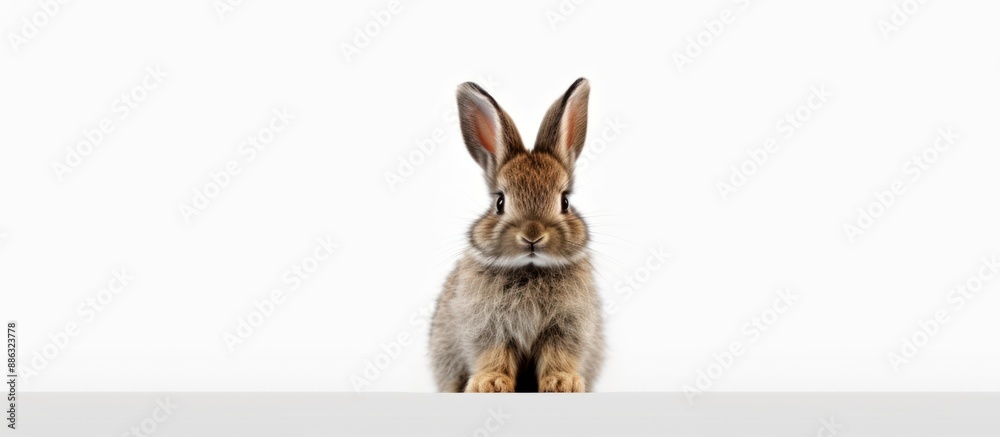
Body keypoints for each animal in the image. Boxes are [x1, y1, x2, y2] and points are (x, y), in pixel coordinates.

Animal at [429, 78, 604, 393]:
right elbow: (494, 355)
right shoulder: (488, 327)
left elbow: (558, 355)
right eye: (500, 202)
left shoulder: (566, 327)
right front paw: (489, 384)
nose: (532, 235)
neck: (530, 268)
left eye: (565, 202)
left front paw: (562, 383)